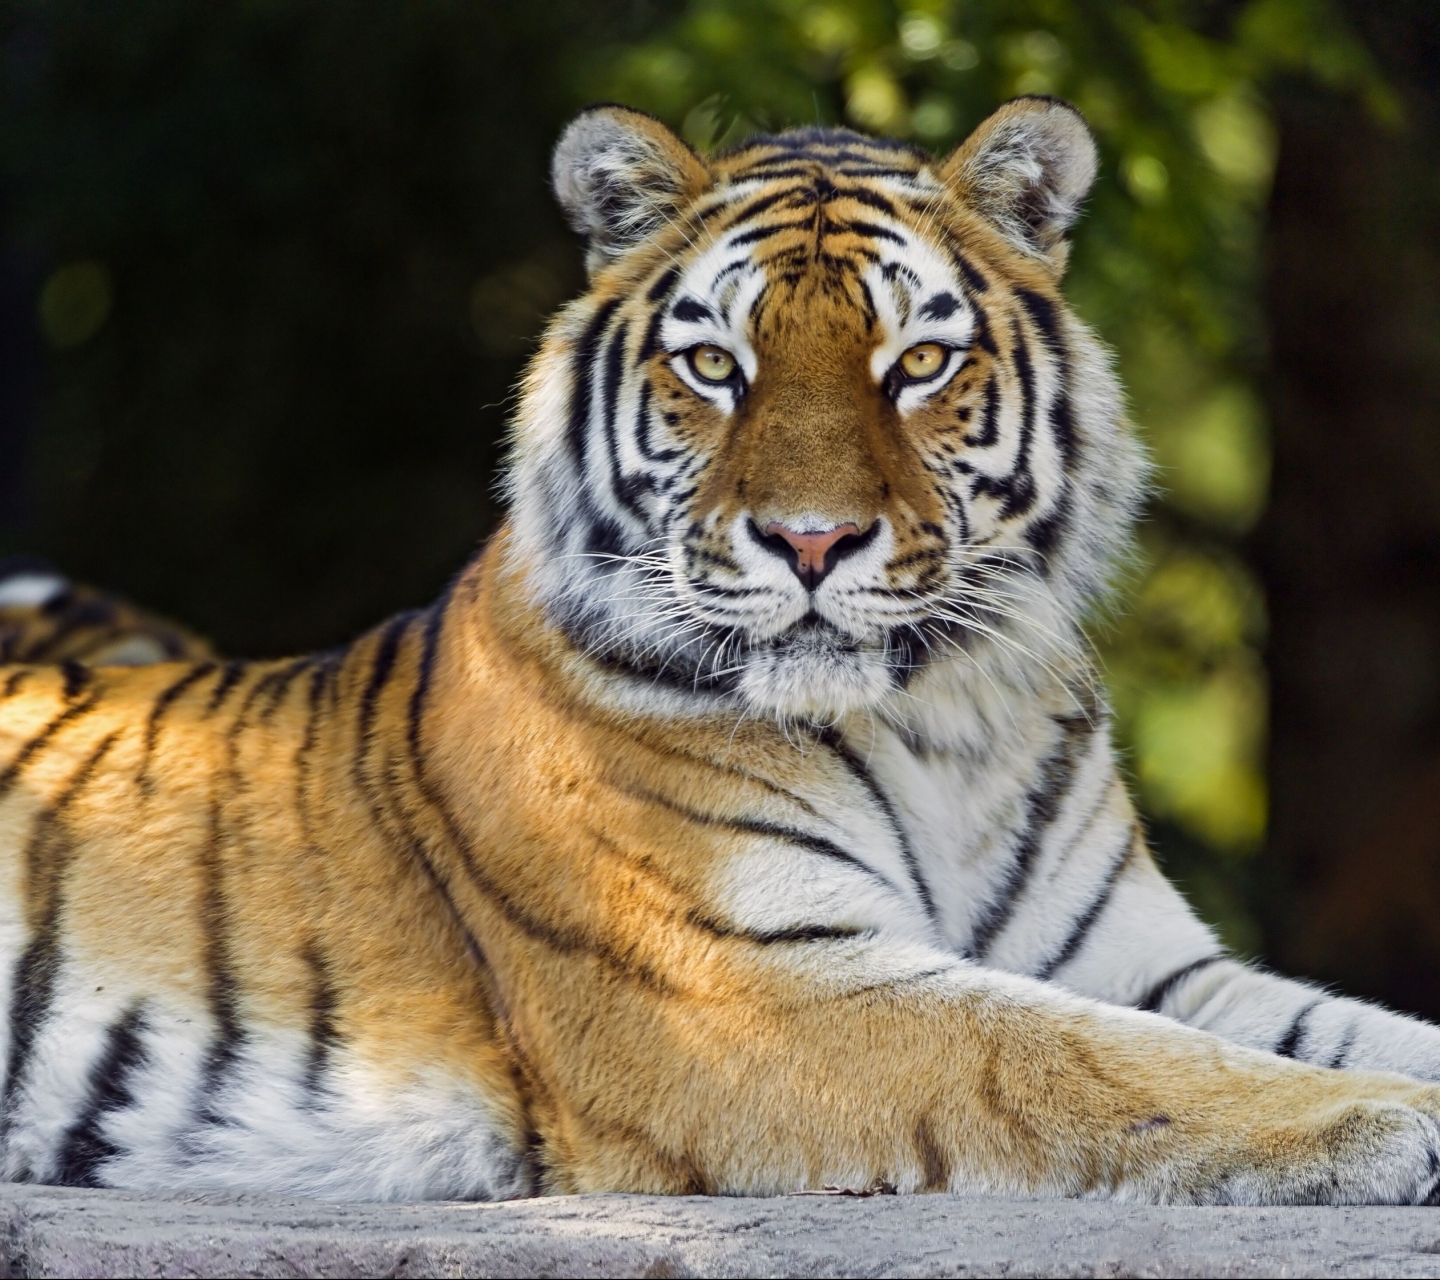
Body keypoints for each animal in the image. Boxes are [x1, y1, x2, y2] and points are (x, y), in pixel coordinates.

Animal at [0, 102, 1440, 1209]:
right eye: (714, 365)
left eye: (918, 360)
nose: (812, 541)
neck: (944, 726)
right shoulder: (750, 989)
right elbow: (1099, 1064)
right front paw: (1383, 1119)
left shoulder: (1142, 961)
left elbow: (1305, 1026)